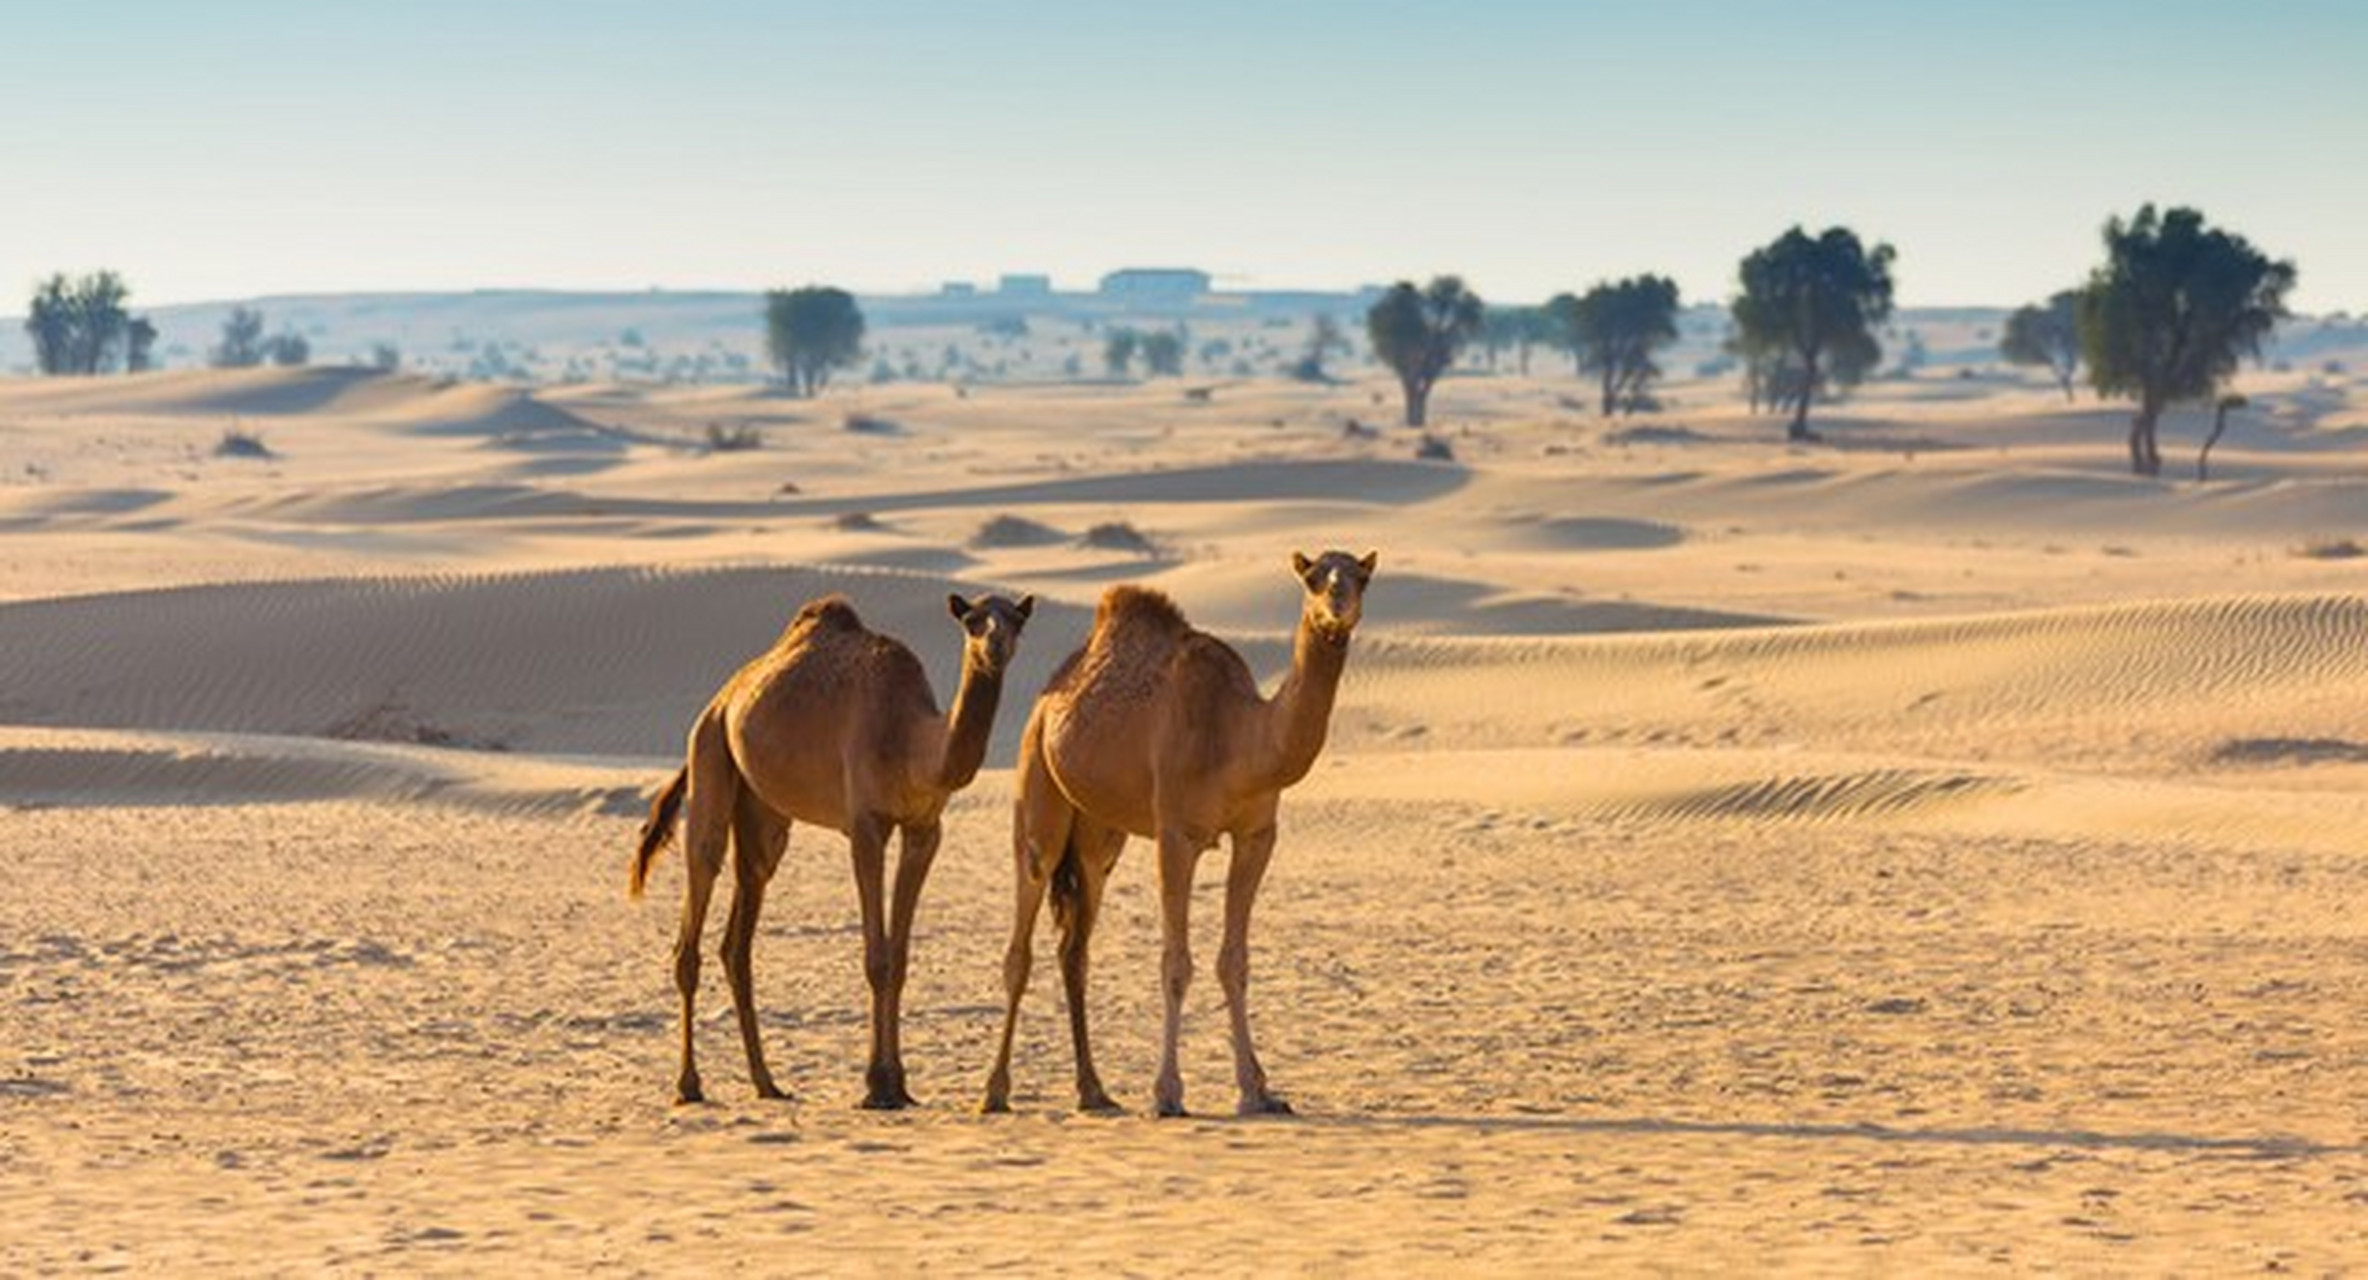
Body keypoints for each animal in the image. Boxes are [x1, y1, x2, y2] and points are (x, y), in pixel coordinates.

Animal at [634, 593, 1032, 1102]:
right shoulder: (865, 826)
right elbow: (877, 959)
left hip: (762, 813)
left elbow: (900, 959)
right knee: (698, 888)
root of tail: (723, 698)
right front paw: (877, 1086)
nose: (996, 645)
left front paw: (900, 1084)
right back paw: (689, 1085)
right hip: (710, 752)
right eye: (973, 621)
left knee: (740, 932)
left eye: (1017, 619)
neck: (911, 740)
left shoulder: (925, 829)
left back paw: (767, 1082)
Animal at [980, 548, 1382, 1116]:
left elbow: (1234, 961)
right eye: (1311, 578)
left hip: (1099, 835)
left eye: (1361, 577)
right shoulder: (1176, 834)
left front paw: (1258, 1090)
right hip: (1037, 788)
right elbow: (1175, 963)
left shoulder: (1258, 835)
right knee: (1023, 937)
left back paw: (1093, 1091)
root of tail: (1045, 696)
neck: (1239, 738)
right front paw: (1167, 1093)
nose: (1337, 606)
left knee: (1075, 947)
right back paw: (993, 1091)